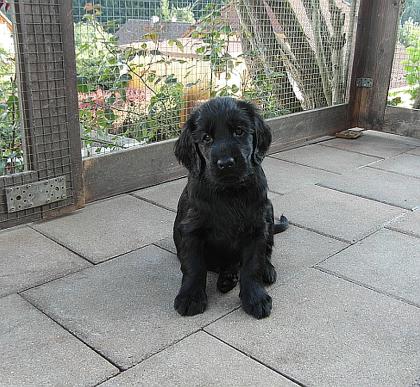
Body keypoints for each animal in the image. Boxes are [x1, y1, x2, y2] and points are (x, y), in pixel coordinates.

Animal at [172, 98, 288, 322]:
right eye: (206, 138)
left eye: (239, 131)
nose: (226, 163)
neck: (229, 192)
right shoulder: (191, 230)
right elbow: (193, 266)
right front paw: (190, 297)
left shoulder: (257, 227)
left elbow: (252, 265)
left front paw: (256, 298)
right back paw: (227, 278)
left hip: (269, 212)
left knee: (266, 252)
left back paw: (264, 271)